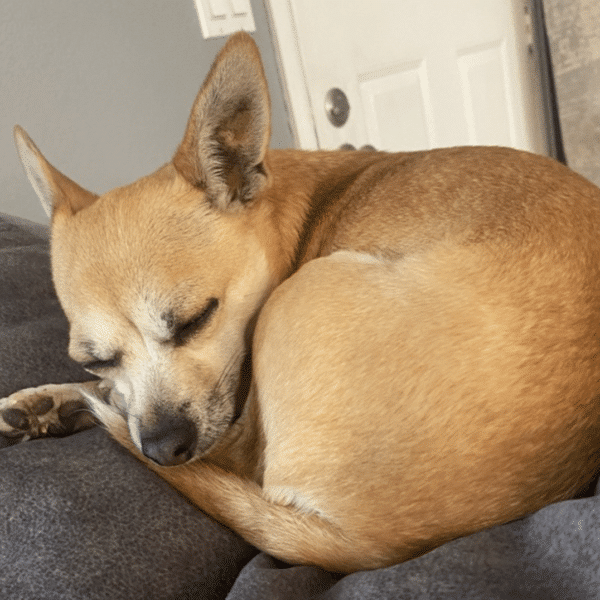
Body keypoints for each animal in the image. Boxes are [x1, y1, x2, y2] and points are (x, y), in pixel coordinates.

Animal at [3, 31, 600, 572]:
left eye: (197, 320)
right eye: (95, 358)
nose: (162, 449)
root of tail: (373, 544)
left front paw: (76, 401)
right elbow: (117, 394)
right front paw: (53, 397)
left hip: (289, 307)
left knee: (236, 456)